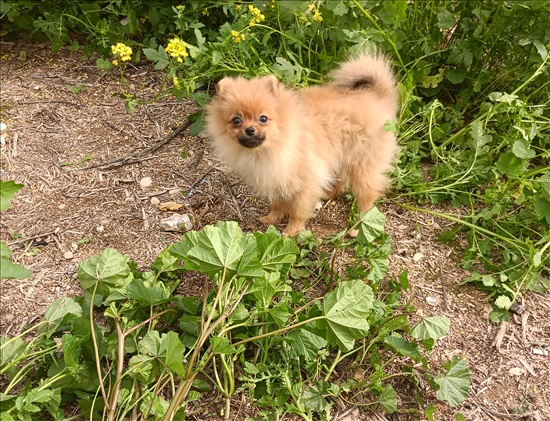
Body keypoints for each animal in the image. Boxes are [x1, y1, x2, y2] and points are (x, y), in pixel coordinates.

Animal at [205, 53, 398, 236]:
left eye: (263, 118)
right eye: (236, 120)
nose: (250, 129)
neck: (272, 147)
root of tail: (377, 94)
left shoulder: (304, 182)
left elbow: (297, 211)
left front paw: (291, 231)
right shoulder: (277, 178)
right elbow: (278, 204)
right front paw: (271, 218)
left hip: (362, 164)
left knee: (367, 198)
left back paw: (359, 227)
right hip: (343, 154)